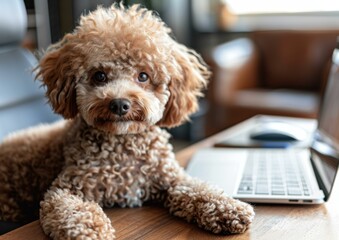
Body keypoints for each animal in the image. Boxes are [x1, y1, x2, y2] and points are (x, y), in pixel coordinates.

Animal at [0, 4, 255, 239]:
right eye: (99, 76)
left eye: (143, 76)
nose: (120, 104)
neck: (123, 146)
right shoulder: (66, 188)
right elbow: (76, 212)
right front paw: (90, 232)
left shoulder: (171, 178)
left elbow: (198, 188)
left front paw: (228, 207)